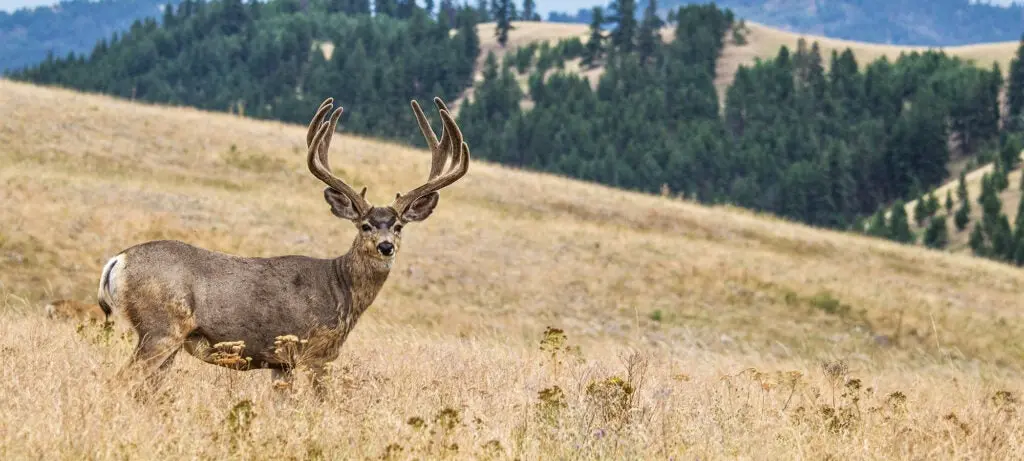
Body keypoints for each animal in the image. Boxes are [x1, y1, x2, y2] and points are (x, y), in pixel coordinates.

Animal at [94, 96, 468, 395]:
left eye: (399, 226)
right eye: (364, 226)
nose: (386, 247)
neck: (341, 289)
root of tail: (118, 261)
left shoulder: (281, 363)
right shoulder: (313, 352)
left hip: (167, 340)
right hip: (160, 327)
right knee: (119, 381)